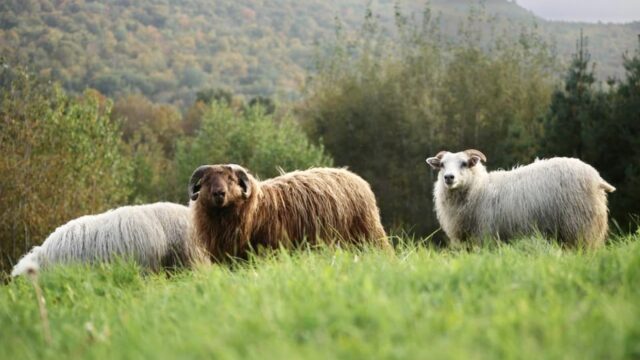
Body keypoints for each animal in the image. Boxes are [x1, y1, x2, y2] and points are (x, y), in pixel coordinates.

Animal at [424, 149, 616, 248]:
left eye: (464, 163)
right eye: (442, 165)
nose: (448, 177)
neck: (479, 188)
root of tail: (597, 178)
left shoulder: (486, 235)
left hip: (580, 225)